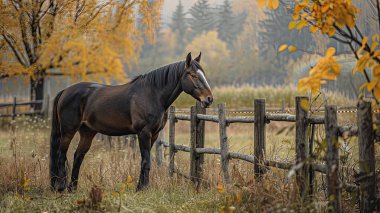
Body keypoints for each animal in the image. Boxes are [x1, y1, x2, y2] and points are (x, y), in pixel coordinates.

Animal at [49, 52, 214, 192]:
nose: (209, 99)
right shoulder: (144, 133)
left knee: (78, 156)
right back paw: (61, 187)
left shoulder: (153, 135)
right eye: (193, 75)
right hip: (68, 131)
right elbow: (146, 161)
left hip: (87, 132)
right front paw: (142, 189)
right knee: (61, 155)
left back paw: (73, 188)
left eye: (203, 74)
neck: (152, 94)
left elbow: (145, 161)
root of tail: (65, 91)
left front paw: (141, 187)